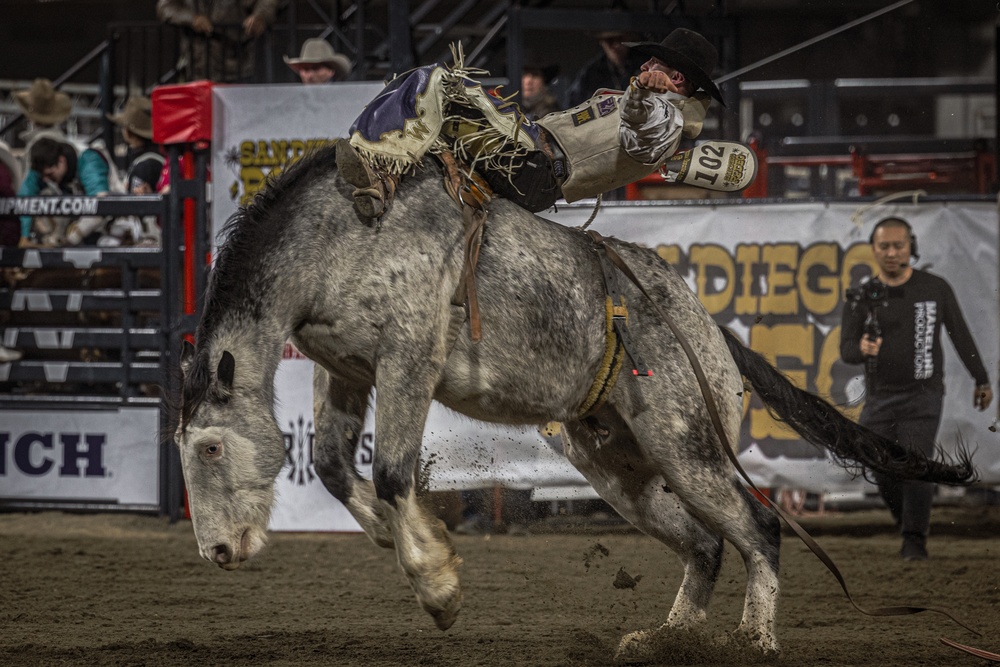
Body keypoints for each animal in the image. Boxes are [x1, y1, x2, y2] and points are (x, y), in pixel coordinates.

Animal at [176, 141, 972, 664]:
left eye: (210, 446)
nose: (216, 552)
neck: (343, 230)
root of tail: (707, 327)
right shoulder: (342, 367)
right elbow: (337, 466)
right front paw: (393, 539)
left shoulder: (409, 360)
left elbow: (394, 471)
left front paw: (438, 585)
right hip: (620, 467)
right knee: (707, 543)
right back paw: (667, 639)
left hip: (688, 443)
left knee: (760, 528)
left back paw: (755, 640)